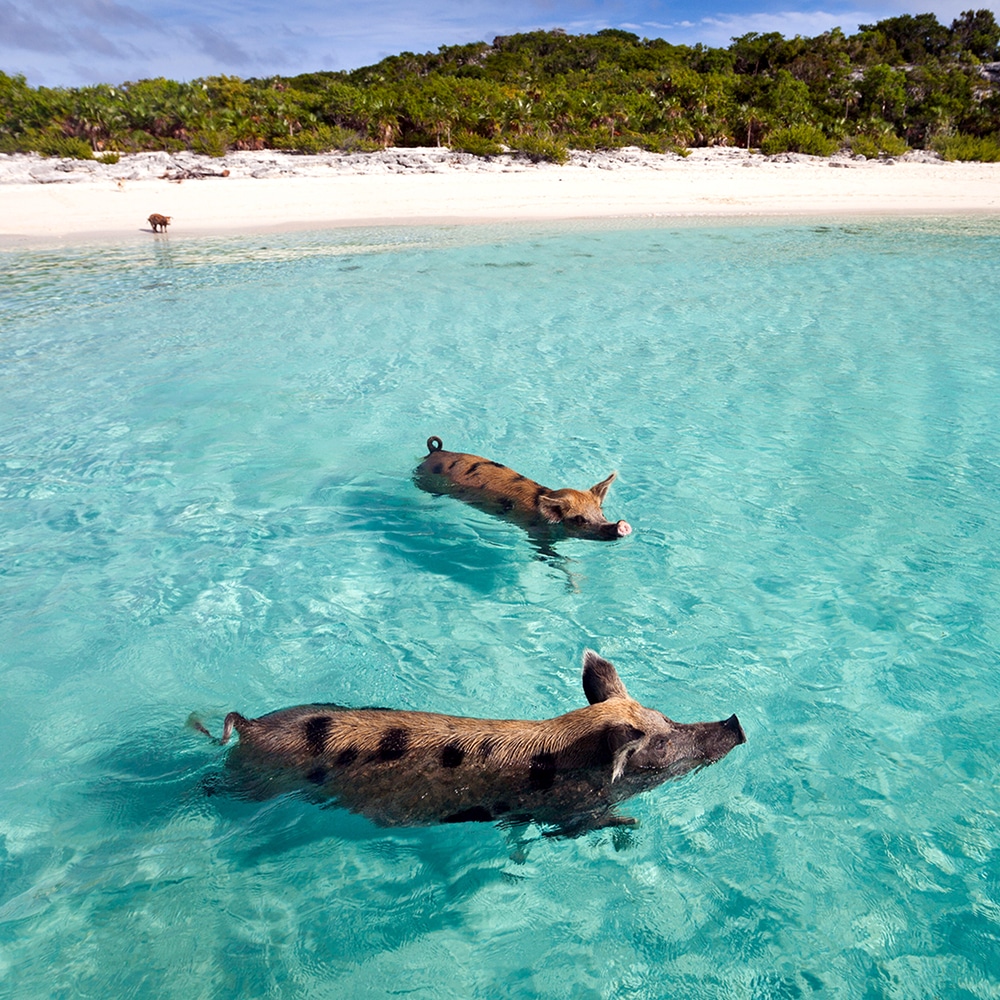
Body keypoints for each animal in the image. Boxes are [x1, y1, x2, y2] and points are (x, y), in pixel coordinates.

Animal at [193, 650, 745, 835]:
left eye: (666, 716)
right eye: (661, 743)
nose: (737, 722)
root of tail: (249, 724)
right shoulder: (568, 810)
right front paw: (631, 824)